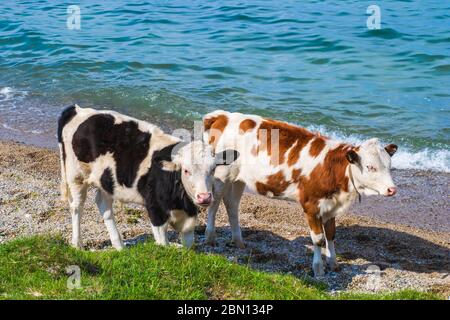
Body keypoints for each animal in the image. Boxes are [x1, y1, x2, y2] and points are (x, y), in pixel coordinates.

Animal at [58, 105, 237, 250]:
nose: (204, 197)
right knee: (77, 207)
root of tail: (78, 110)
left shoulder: (189, 217)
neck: (180, 201)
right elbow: (163, 245)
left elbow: (188, 246)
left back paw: (119, 246)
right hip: (76, 176)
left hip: (107, 179)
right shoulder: (155, 210)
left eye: (213, 169)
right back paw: (77, 243)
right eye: (186, 171)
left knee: (104, 205)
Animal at [202, 110, 396, 276]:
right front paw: (318, 269)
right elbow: (318, 239)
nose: (392, 189)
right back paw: (210, 237)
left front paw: (334, 263)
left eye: (388, 166)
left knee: (232, 204)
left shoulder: (331, 205)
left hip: (239, 178)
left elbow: (331, 235)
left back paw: (238, 241)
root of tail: (223, 116)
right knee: (214, 203)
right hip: (221, 175)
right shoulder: (311, 205)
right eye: (370, 167)